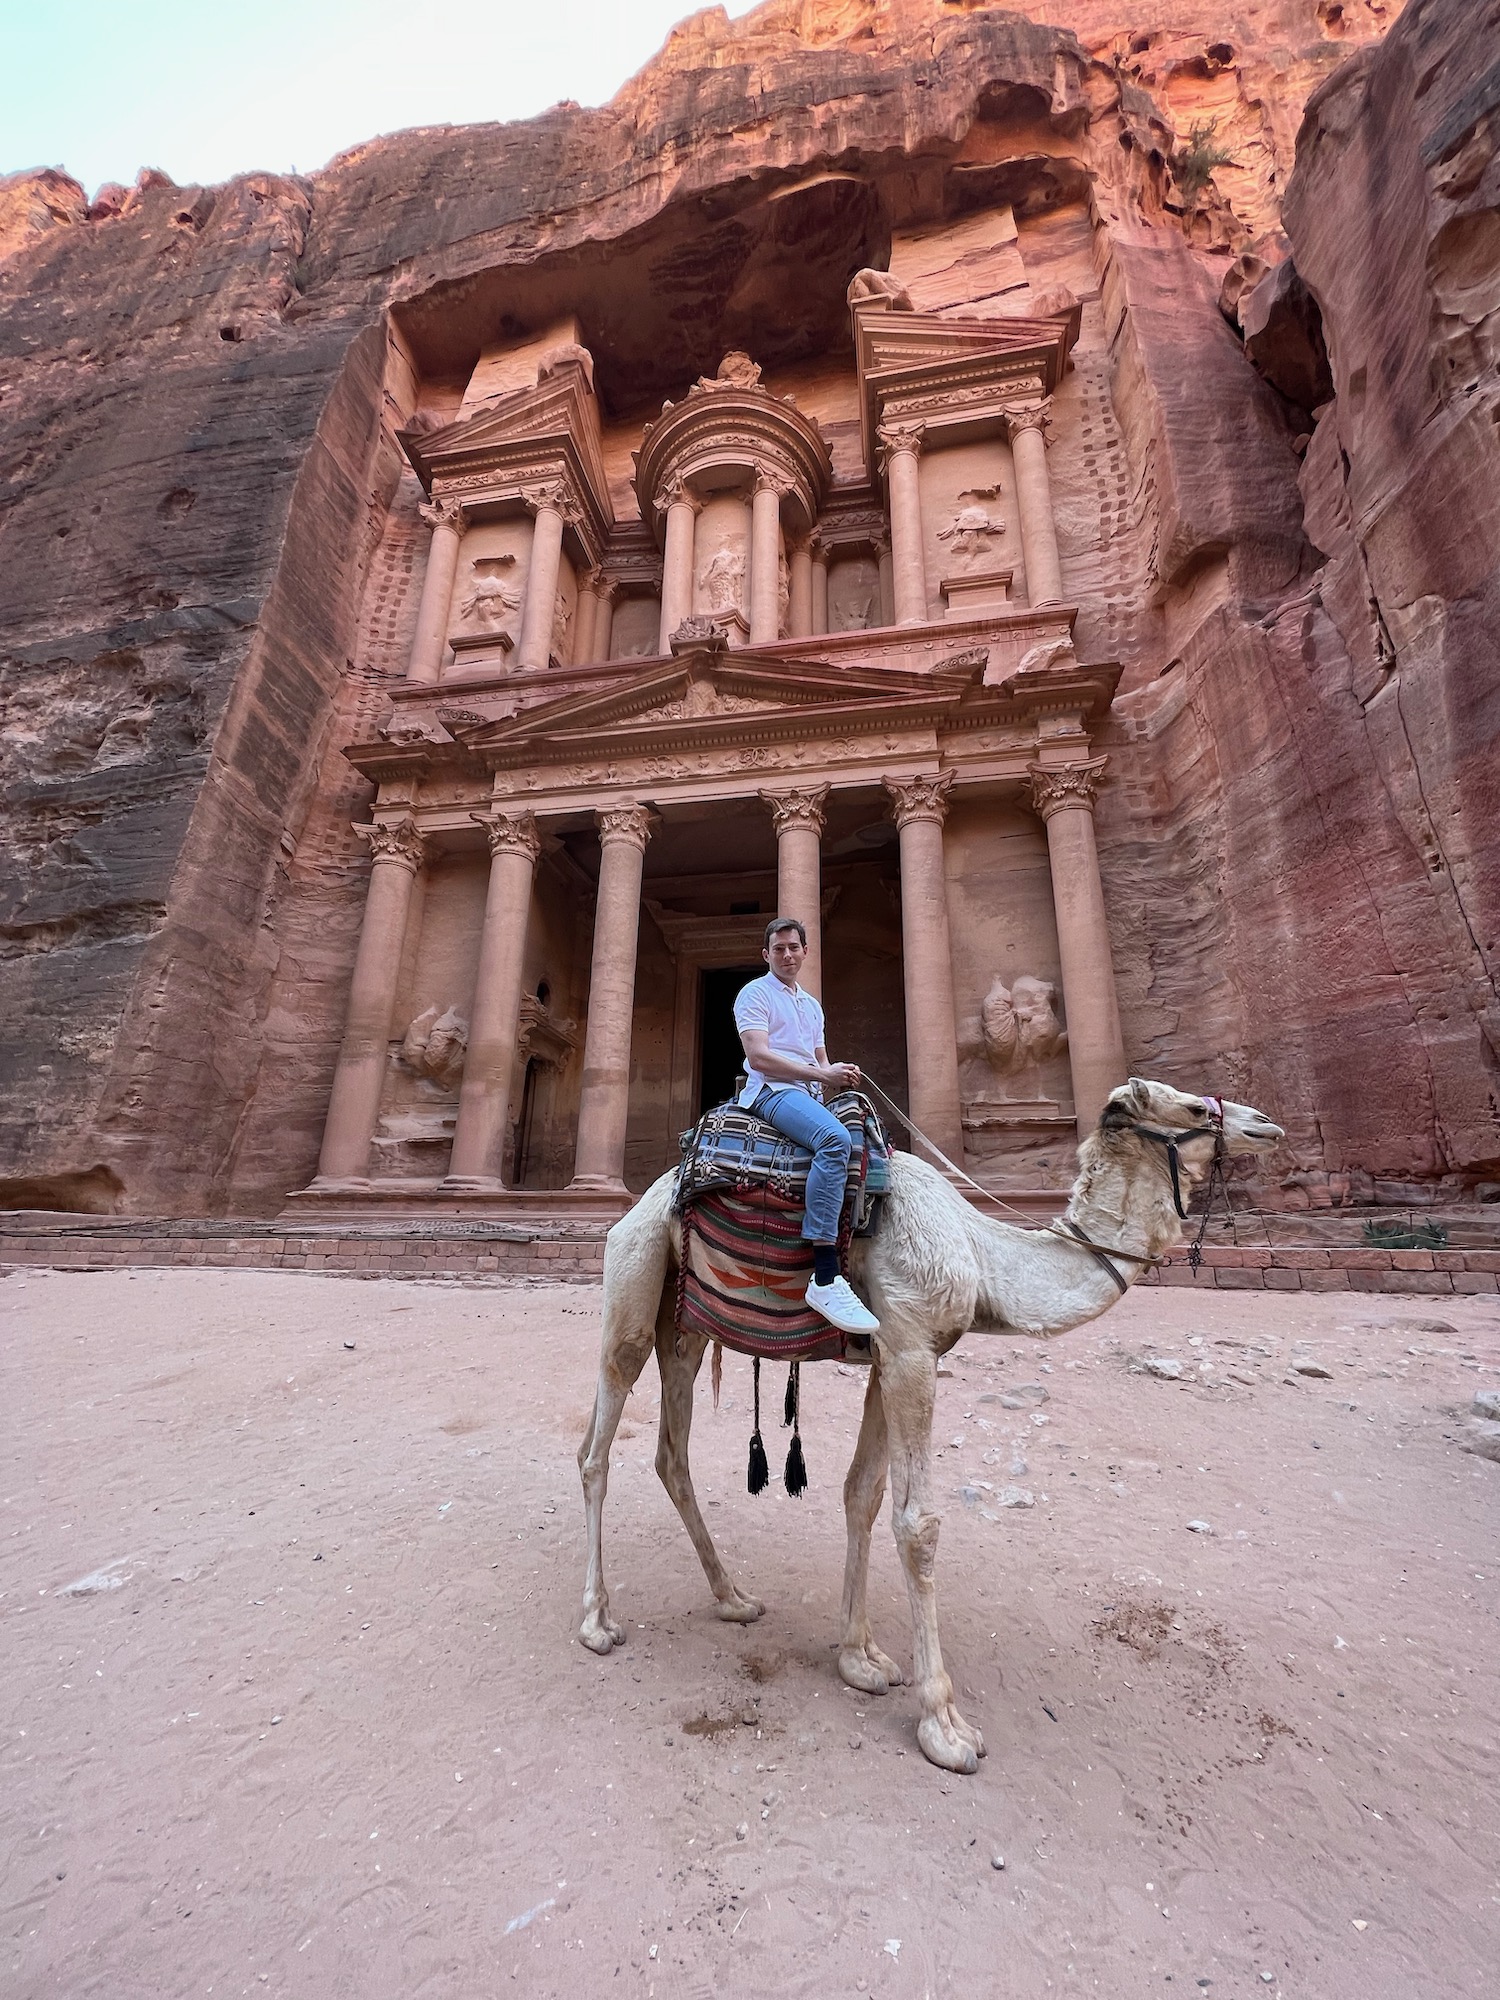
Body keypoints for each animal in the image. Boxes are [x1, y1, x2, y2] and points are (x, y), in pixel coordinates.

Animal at [576, 1088, 1280, 1776]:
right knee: (595, 1449)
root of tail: (643, 1202)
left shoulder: (892, 1354)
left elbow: (862, 1494)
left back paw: (733, 1598)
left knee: (670, 1453)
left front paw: (860, 1659)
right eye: (1193, 1108)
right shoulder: (913, 1349)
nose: (1266, 1124)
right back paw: (597, 1622)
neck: (978, 1251)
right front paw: (944, 1725)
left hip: (686, 1326)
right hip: (634, 1279)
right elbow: (919, 1524)